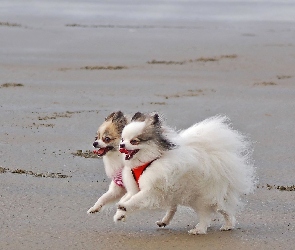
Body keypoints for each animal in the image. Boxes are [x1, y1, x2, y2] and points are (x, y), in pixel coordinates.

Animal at [113, 113, 256, 234]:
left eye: (134, 141)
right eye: (122, 139)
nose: (121, 145)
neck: (149, 160)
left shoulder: (152, 190)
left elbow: (135, 199)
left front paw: (124, 207)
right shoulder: (137, 189)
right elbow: (127, 197)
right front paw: (120, 213)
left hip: (202, 197)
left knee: (211, 213)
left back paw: (205, 229)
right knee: (176, 208)